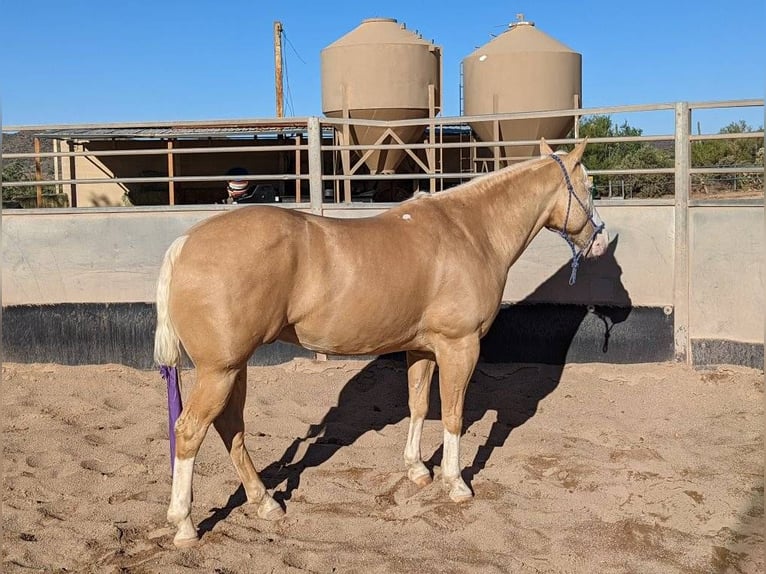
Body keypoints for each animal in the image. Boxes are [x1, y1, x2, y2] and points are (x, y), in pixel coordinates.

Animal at [154, 138, 607, 547]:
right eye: (588, 187)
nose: (600, 241)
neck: (469, 231)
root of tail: (184, 244)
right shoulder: (459, 346)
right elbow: (454, 416)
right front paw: (456, 484)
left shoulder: (422, 349)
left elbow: (419, 405)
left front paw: (417, 470)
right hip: (221, 370)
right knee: (191, 430)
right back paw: (185, 525)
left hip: (234, 368)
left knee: (230, 427)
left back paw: (265, 502)